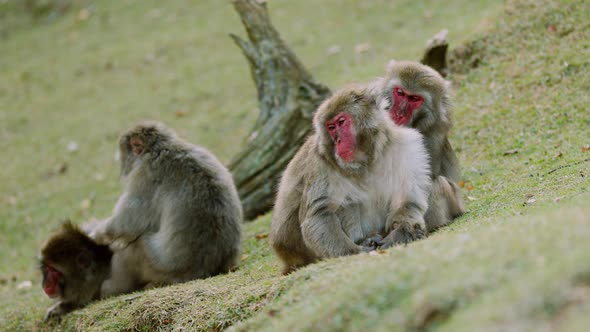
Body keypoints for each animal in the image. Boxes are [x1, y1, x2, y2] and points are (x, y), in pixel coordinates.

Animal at [89, 121, 242, 296]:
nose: (122, 168)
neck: (159, 147)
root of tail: (205, 270)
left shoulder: (144, 175)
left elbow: (128, 222)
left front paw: (96, 234)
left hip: (156, 265)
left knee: (133, 246)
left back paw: (112, 288)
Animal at [270, 84, 432, 274]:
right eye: (331, 127)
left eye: (341, 122)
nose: (338, 140)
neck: (367, 160)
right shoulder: (318, 163)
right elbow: (320, 213)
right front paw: (355, 250)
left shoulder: (408, 146)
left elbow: (408, 200)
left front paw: (400, 234)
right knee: (346, 203)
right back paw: (364, 240)